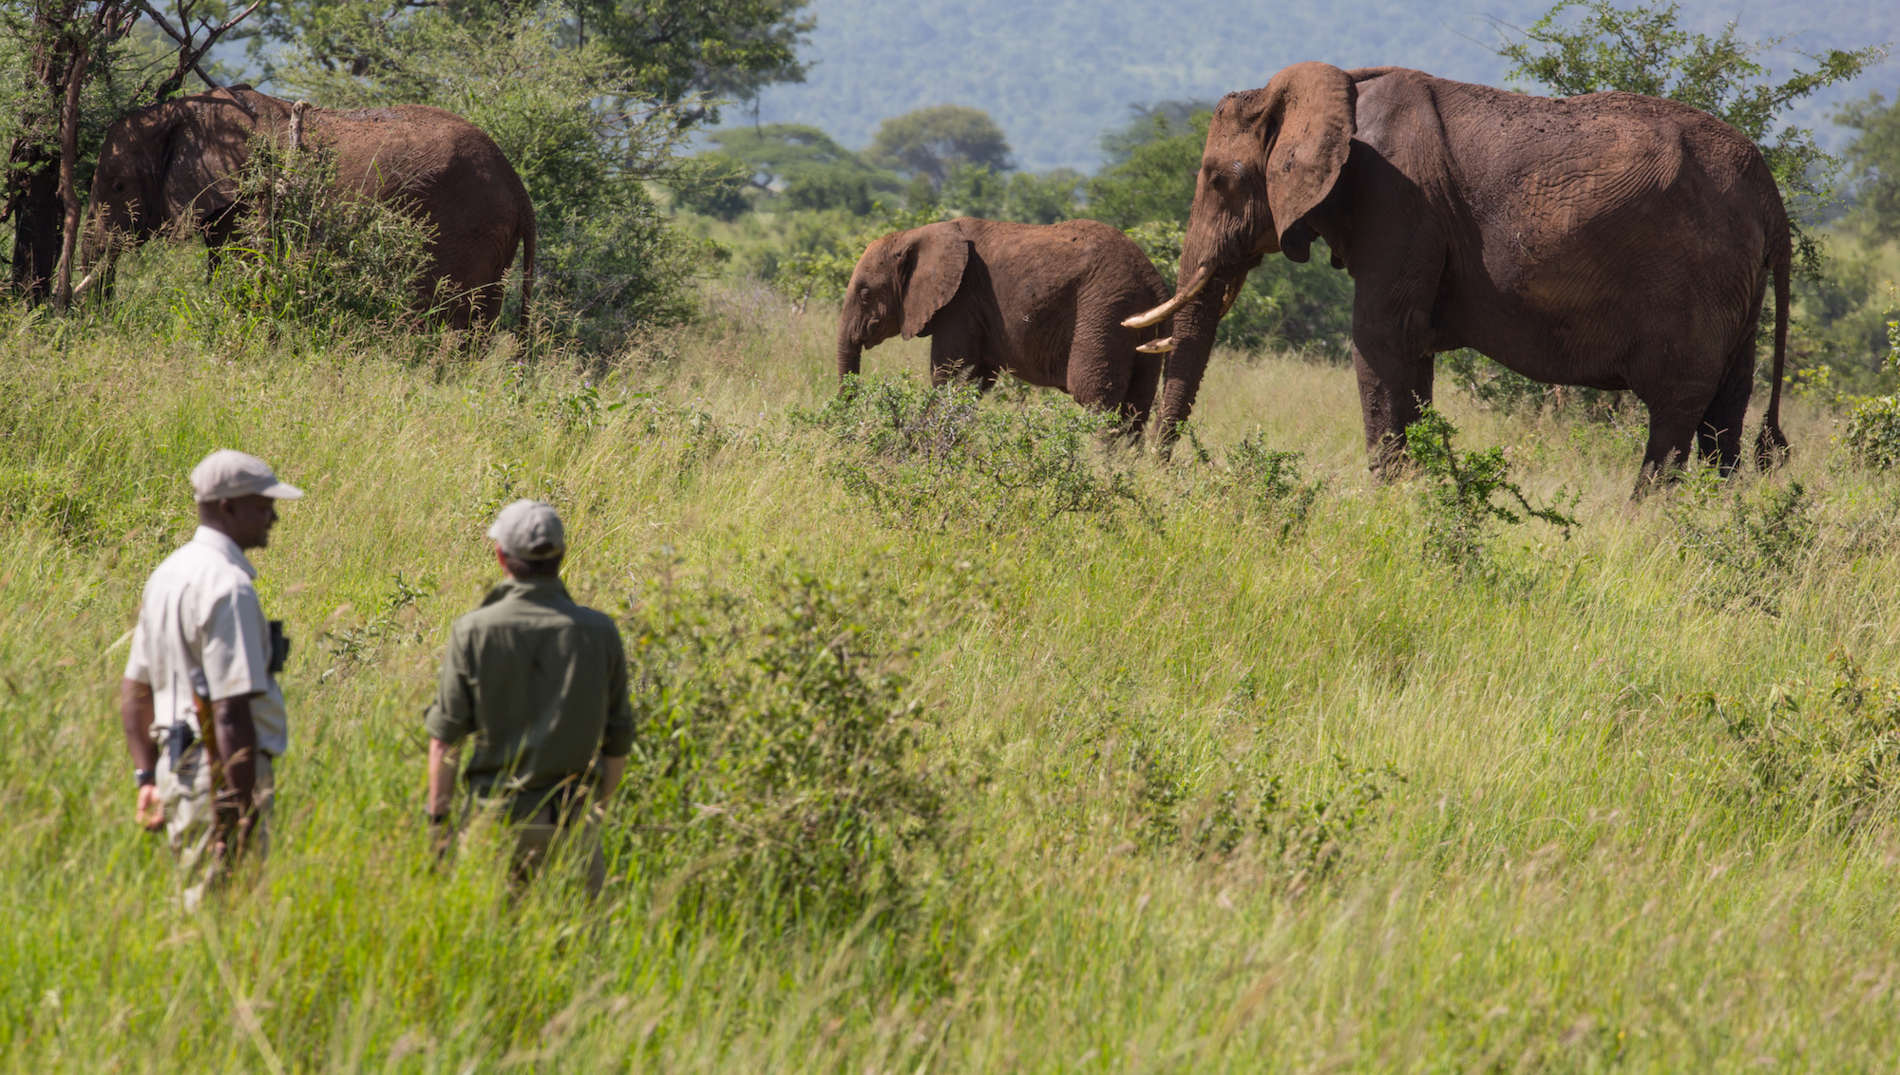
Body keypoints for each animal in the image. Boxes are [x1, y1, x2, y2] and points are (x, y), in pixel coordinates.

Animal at [81, 85, 535, 328]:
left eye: (118, 185)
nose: (98, 317)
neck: (184, 109)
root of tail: (517, 186)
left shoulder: (251, 196)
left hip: (461, 228)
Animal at [836, 217, 1170, 436]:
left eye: (865, 293)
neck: (917, 234)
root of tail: (1153, 279)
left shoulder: (961, 302)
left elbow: (950, 377)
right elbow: (974, 382)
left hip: (1105, 310)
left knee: (1096, 396)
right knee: (1137, 405)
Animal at [1117, 63, 1786, 493]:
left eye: (1220, 179)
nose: (1157, 475)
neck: (1336, 85)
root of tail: (1771, 193)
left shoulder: (1398, 200)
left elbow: (1379, 341)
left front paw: (1385, 501)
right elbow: (1409, 356)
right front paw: (1415, 495)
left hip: (1696, 280)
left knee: (1675, 411)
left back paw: (1643, 521)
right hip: (1737, 292)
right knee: (1724, 416)